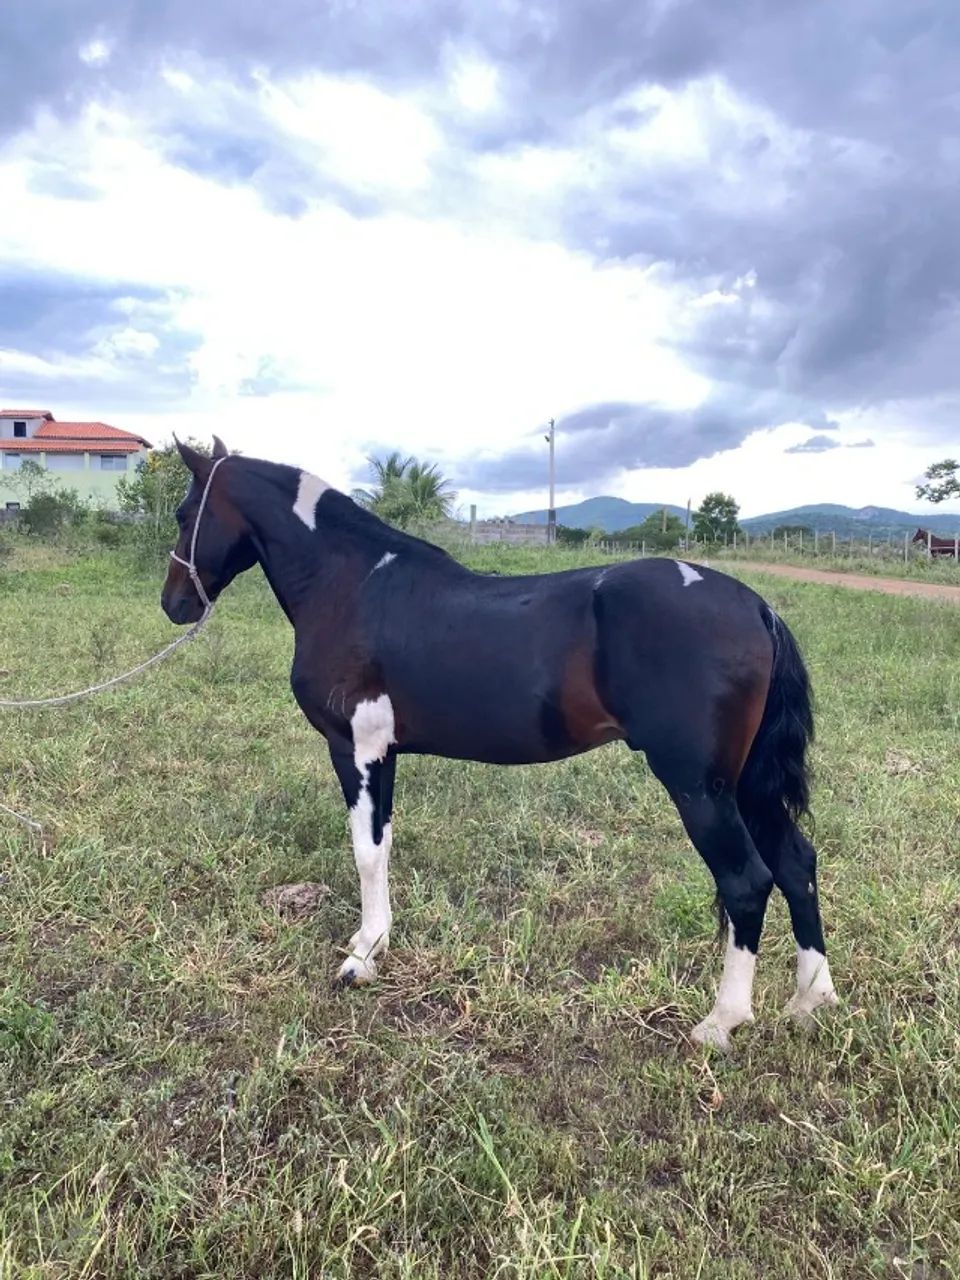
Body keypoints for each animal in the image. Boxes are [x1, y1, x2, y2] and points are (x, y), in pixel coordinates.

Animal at [161, 438, 838, 1050]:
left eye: (184, 512)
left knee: (747, 880)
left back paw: (721, 1024)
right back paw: (811, 1001)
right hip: (743, 784)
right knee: (795, 863)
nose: (174, 603)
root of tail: (755, 606)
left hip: (700, 787)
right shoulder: (383, 754)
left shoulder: (356, 751)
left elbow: (366, 853)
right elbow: (383, 846)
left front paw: (363, 956)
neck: (351, 585)